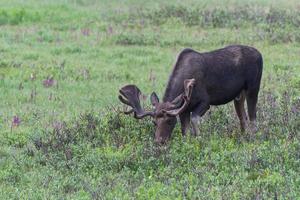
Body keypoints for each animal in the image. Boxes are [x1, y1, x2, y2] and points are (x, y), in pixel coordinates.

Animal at [117, 44, 262, 143]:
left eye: (169, 121)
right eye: (154, 122)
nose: (159, 141)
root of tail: (260, 54)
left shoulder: (205, 101)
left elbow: (194, 119)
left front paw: (199, 139)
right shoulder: (184, 109)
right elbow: (185, 131)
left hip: (253, 88)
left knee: (253, 117)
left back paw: (254, 137)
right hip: (238, 95)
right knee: (243, 118)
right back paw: (244, 137)